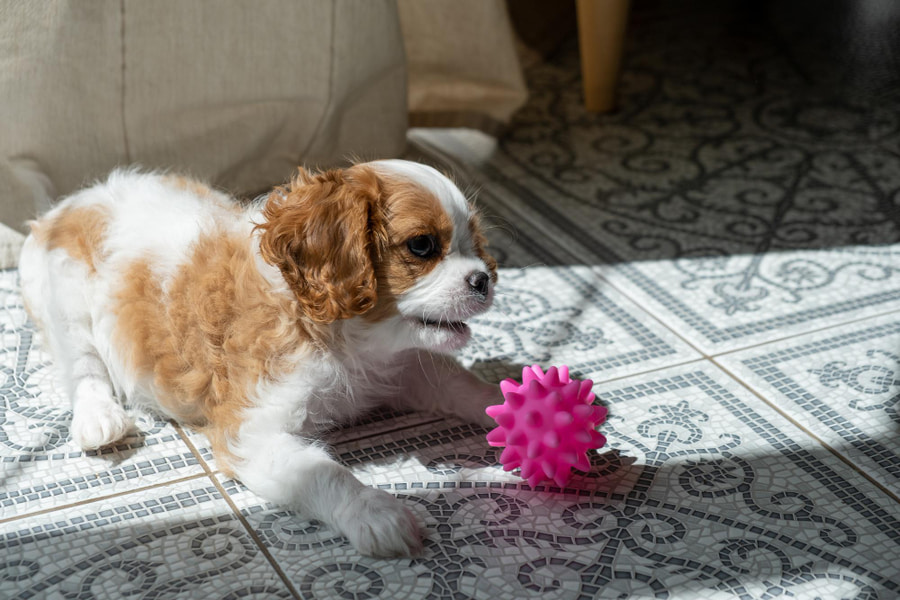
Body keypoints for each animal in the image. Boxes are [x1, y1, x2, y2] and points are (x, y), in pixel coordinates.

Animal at [17, 161, 500, 556]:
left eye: (475, 244)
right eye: (422, 246)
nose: (484, 280)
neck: (353, 344)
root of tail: (76, 201)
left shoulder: (405, 368)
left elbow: (462, 387)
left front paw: (509, 408)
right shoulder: (250, 431)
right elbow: (323, 473)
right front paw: (375, 512)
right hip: (65, 305)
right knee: (84, 369)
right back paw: (100, 420)